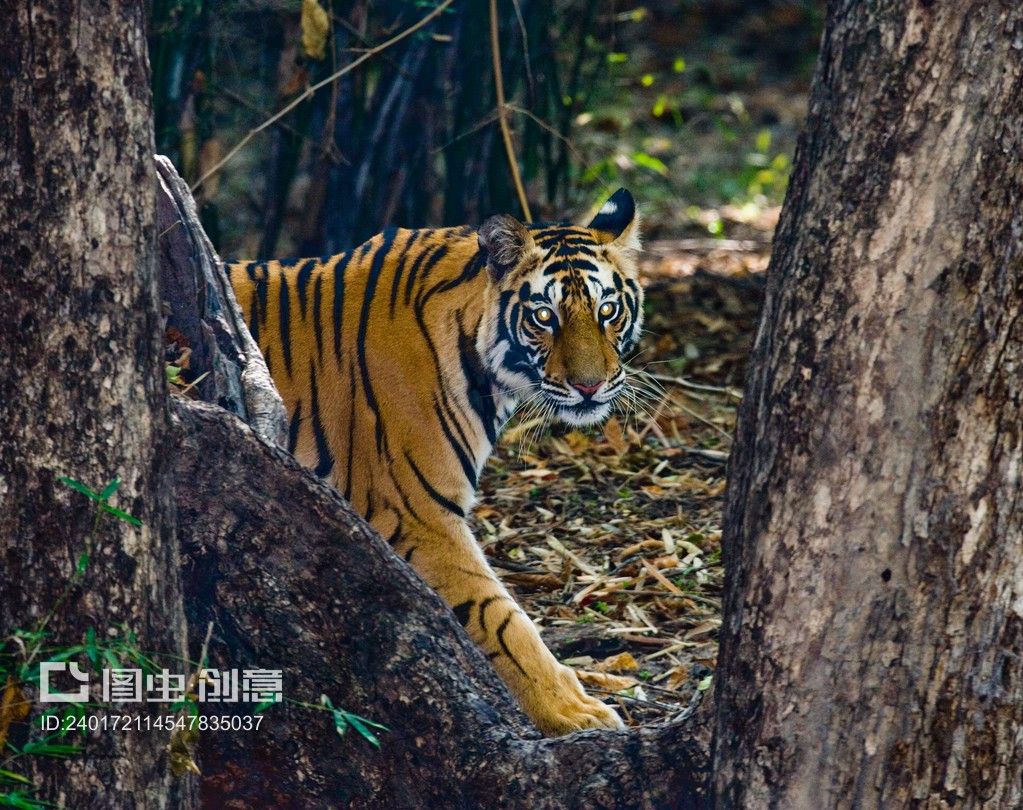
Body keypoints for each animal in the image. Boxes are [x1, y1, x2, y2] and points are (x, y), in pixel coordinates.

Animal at [228, 188, 642, 732]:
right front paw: (571, 710)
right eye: (544, 317)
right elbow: (503, 619)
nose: (590, 387)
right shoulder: (418, 515)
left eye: (608, 310)